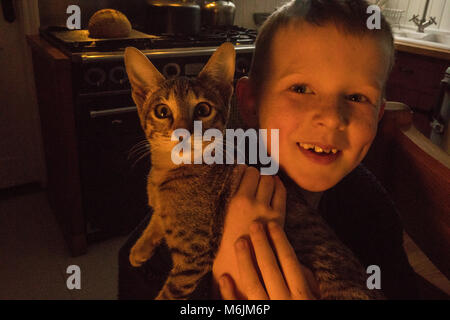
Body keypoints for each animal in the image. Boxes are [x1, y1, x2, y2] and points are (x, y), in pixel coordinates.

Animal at [123, 42, 384, 300]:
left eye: (203, 110)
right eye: (162, 112)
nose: (183, 133)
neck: (166, 172)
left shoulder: (194, 254)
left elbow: (171, 292)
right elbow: (157, 217)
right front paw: (141, 247)